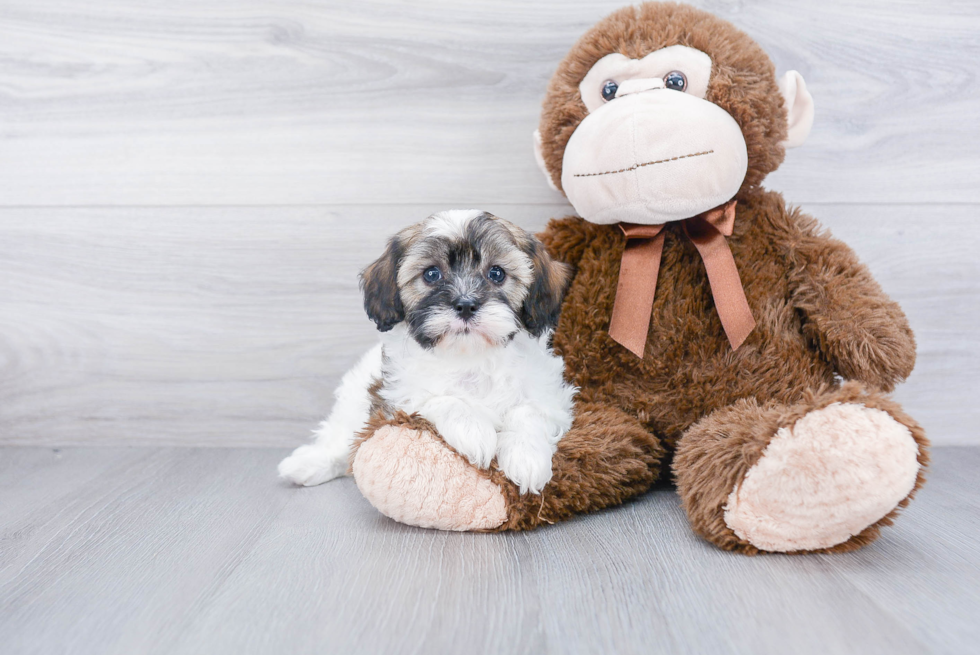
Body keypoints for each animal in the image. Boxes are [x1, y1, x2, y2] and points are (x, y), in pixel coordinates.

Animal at [278, 213, 576, 494]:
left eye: (497, 273)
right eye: (432, 274)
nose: (465, 304)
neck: (470, 357)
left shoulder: (551, 395)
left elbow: (529, 411)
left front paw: (526, 456)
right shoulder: (396, 397)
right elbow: (440, 398)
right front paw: (474, 431)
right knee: (342, 438)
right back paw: (308, 464)